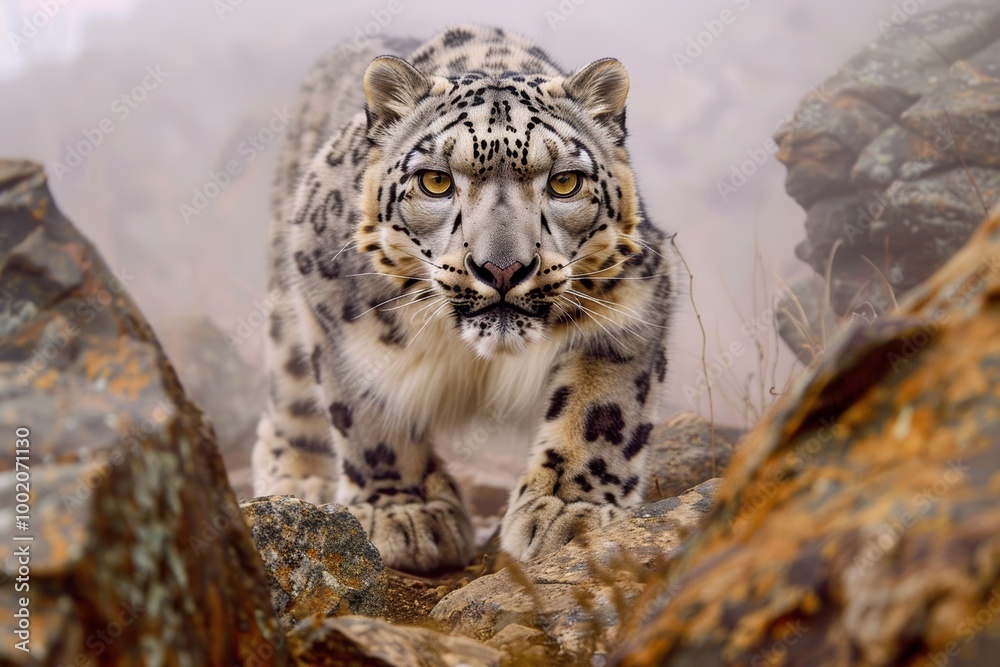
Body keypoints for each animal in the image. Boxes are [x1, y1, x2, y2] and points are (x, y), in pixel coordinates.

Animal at [252, 25, 676, 573]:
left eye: (564, 182)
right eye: (435, 181)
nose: (502, 269)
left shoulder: (629, 303)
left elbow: (603, 409)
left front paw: (569, 509)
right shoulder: (337, 309)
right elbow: (367, 413)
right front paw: (406, 513)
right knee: (290, 392)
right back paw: (297, 476)